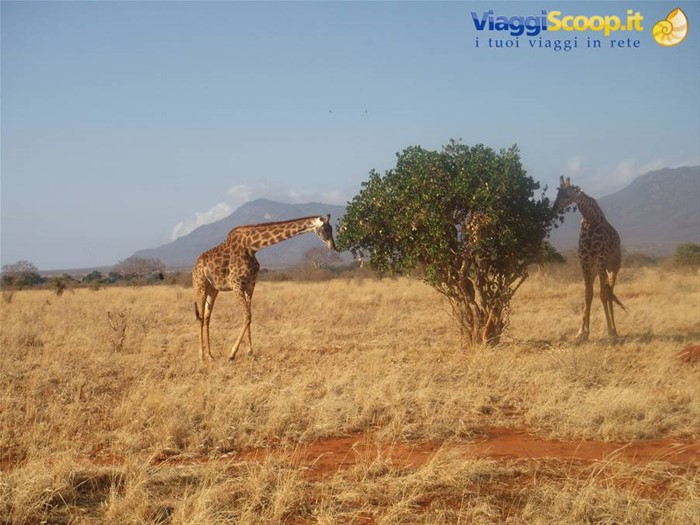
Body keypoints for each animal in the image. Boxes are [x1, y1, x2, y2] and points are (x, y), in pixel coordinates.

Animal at [192, 215, 337, 362]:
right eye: (325, 229)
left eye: (332, 228)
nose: (333, 246)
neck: (252, 246)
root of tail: (196, 265)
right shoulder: (236, 283)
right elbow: (247, 316)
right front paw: (232, 354)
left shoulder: (250, 284)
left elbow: (249, 317)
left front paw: (251, 353)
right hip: (200, 286)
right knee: (201, 317)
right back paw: (201, 355)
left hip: (213, 290)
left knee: (207, 317)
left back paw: (210, 355)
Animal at [553, 176, 627, 341]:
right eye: (557, 194)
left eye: (567, 195)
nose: (554, 209)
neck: (590, 220)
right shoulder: (585, 261)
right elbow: (588, 295)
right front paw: (582, 332)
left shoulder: (600, 260)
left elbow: (602, 295)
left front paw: (610, 331)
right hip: (595, 270)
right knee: (602, 292)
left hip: (613, 268)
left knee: (609, 293)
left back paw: (615, 330)